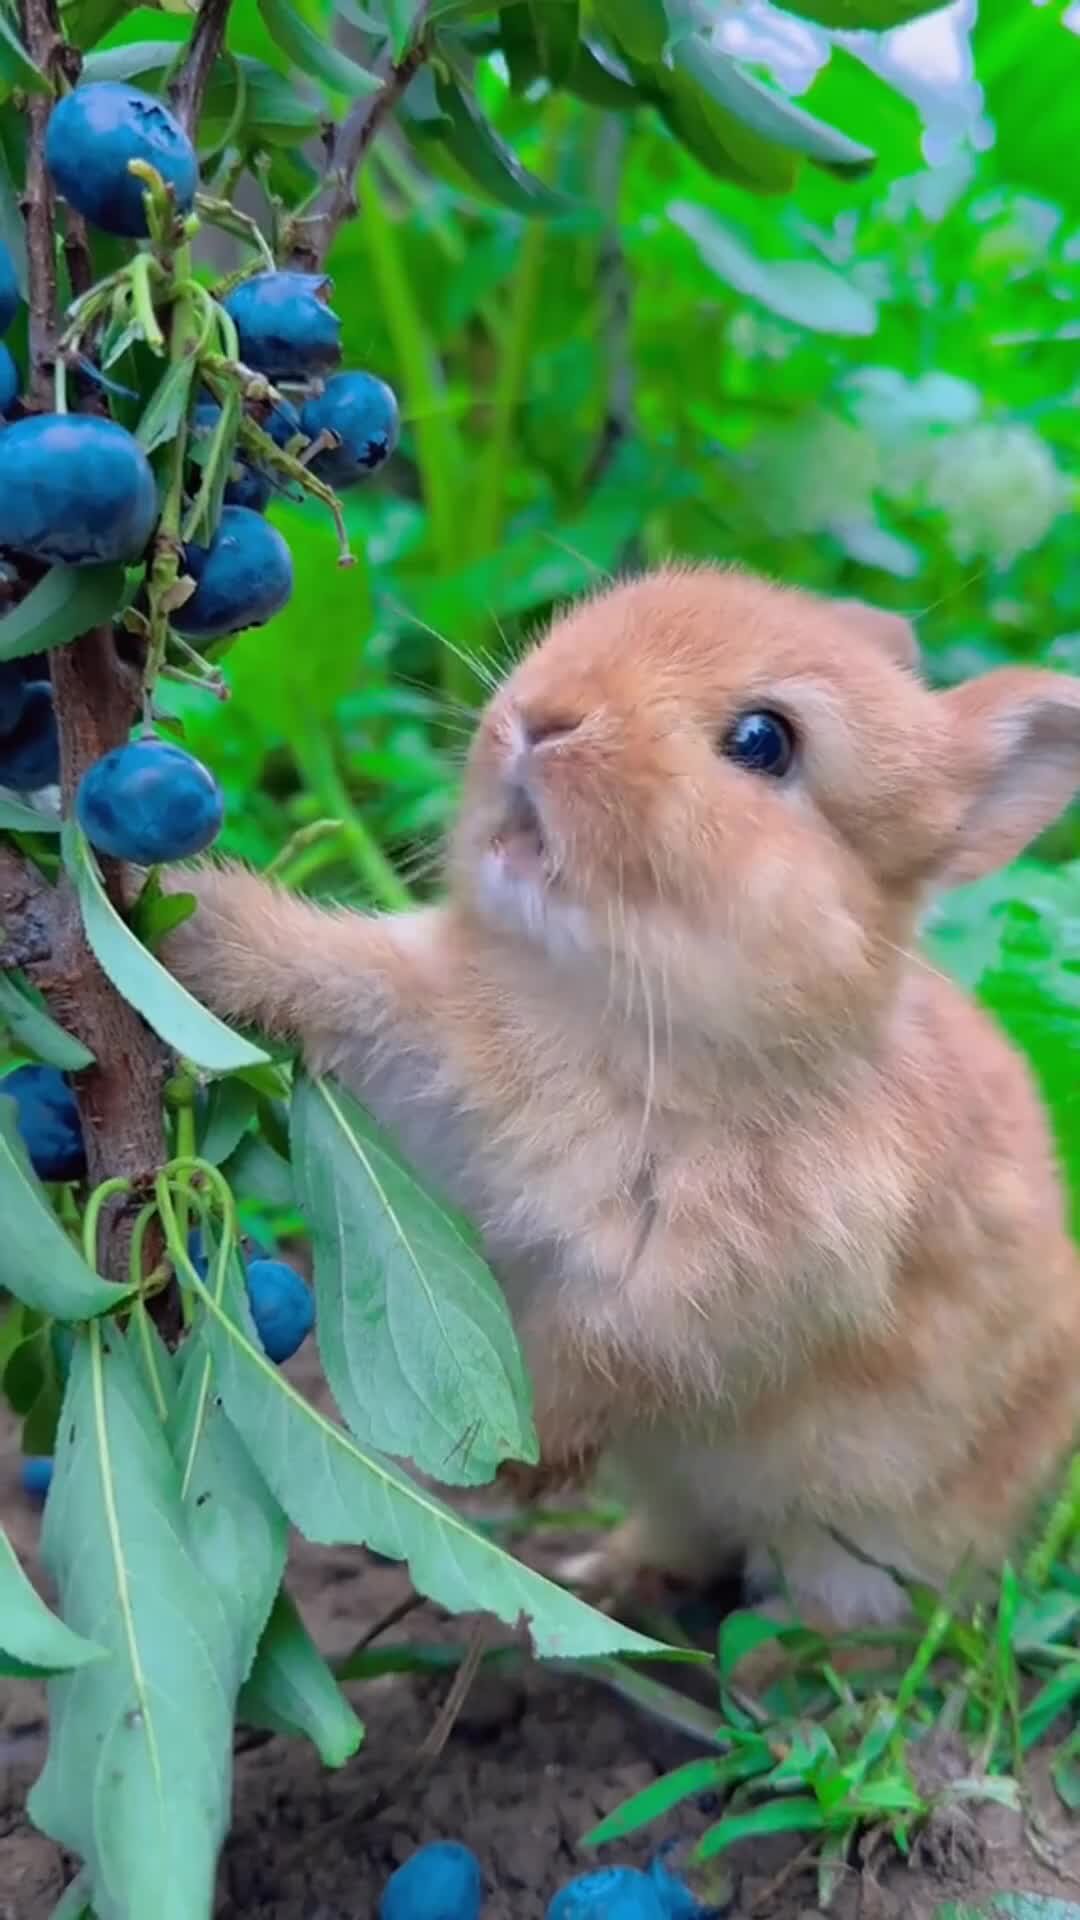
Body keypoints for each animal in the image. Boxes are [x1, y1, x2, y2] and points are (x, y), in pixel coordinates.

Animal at [164, 564, 1076, 1651]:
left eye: (763, 741)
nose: (540, 718)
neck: (611, 1021)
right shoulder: (427, 1065)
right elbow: (331, 974)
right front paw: (186, 919)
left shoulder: (713, 1291)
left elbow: (598, 1356)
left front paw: (496, 1458)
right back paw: (608, 1578)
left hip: (867, 1538)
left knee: (848, 1611)